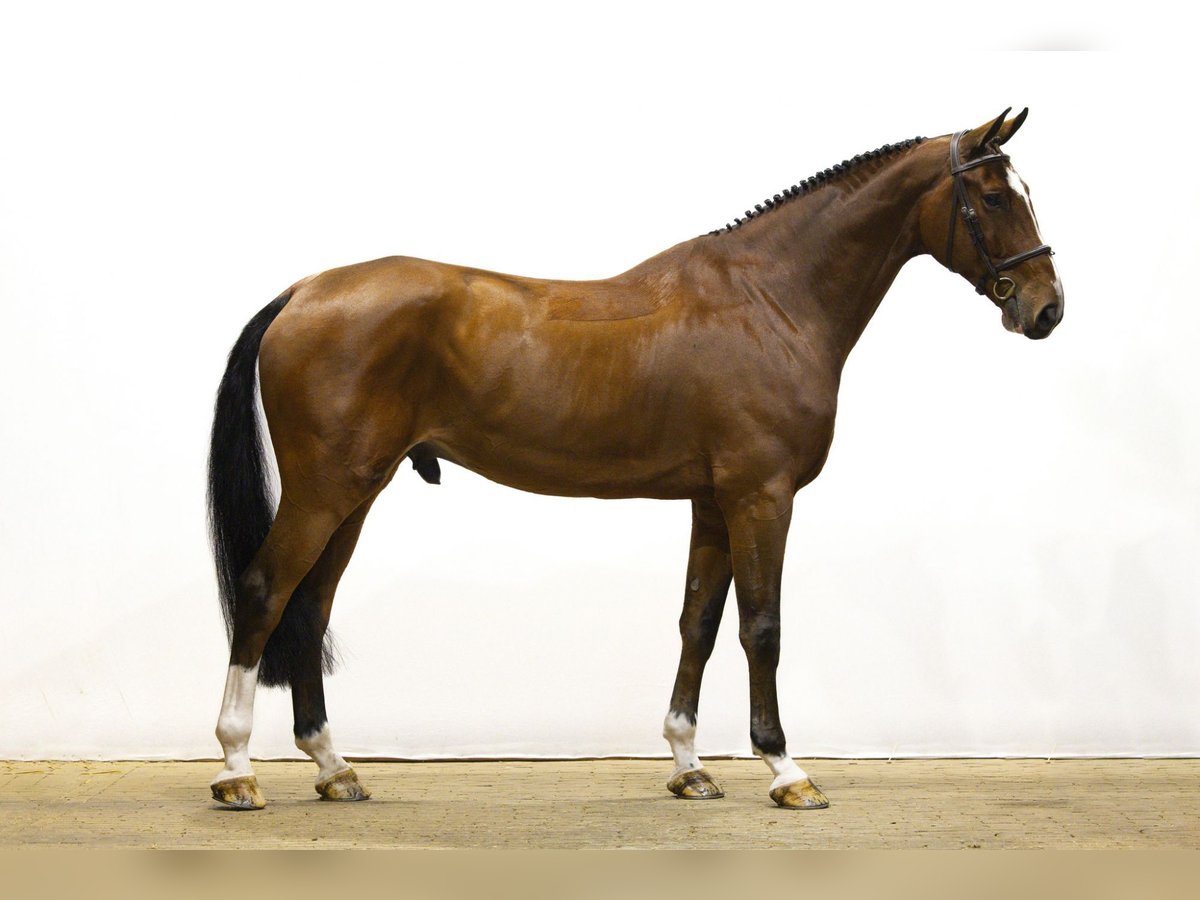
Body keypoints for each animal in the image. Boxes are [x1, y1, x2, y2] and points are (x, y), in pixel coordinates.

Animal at [207, 108, 1062, 811]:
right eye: (993, 196)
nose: (1046, 308)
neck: (771, 300)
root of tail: (302, 292)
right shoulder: (762, 496)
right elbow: (762, 627)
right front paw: (787, 772)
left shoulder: (714, 502)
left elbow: (699, 623)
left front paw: (689, 766)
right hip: (325, 490)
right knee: (265, 592)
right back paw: (238, 770)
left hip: (356, 493)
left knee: (311, 606)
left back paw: (334, 768)